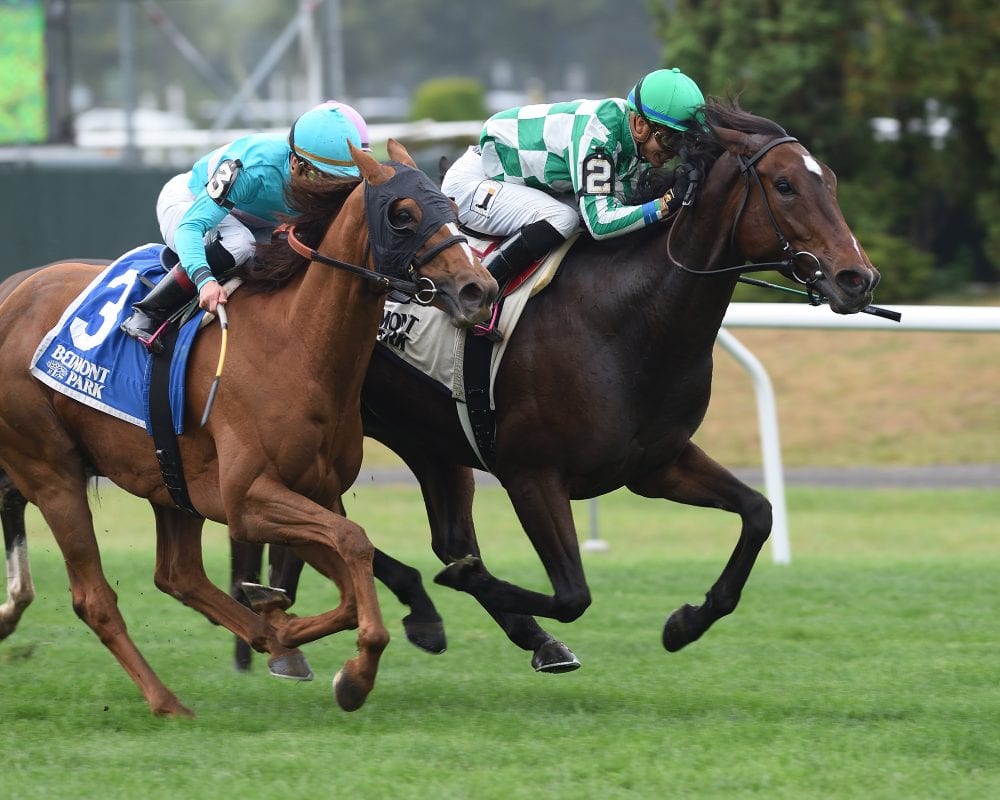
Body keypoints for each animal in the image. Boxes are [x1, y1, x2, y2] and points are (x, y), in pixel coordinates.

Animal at [0, 141, 496, 716]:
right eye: (403, 215)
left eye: (453, 208)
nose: (478, 289)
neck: (297, 345)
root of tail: (11, 296)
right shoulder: (248, 499)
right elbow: (355, 545)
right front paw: (352, 673)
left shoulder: (315, 493)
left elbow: (351, 583)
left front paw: (283, 626)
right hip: (51, 471)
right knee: (93, 598)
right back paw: (167, 702)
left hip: (167, 482)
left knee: (178, 575)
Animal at [229, 101, 884, 676]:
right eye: (785, 186)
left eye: (828, 181)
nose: (858, 277)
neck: (632, 317)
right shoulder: (532, 474)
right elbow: (572, 594)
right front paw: (473, 585)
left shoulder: (656, 464)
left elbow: (758, 513)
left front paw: (684, 623)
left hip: (425, 439)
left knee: (427, 534)